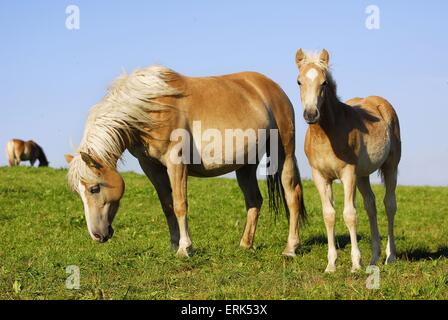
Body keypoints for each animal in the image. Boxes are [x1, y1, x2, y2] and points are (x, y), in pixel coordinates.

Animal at [65, 65, 306, 258]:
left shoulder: (176, 163)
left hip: (284, 154)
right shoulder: (151, 167)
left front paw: (185, 248)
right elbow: (167, 206)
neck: (150, 108)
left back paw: (290, 248)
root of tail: (273, 88)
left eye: (95, 188)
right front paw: (174, 245)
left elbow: (180, 205)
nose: (97, 235)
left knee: (292, 196)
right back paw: (245, 245)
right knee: (254, 200)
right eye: (78, 192)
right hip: (245, 165)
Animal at [294, 48, 402, 272]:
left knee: (389, 204)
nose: (311, 114)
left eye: (324, 82)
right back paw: (374, 258)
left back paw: (390, 256)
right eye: (299, 81)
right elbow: (329, 215)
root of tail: (381, 103)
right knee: (371, 205)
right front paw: (331, 265)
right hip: (363, 176)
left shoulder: (348, 174)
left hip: (390, 167)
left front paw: (355, 264)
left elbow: (349, 214)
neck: (327, 135)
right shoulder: (320, 177)